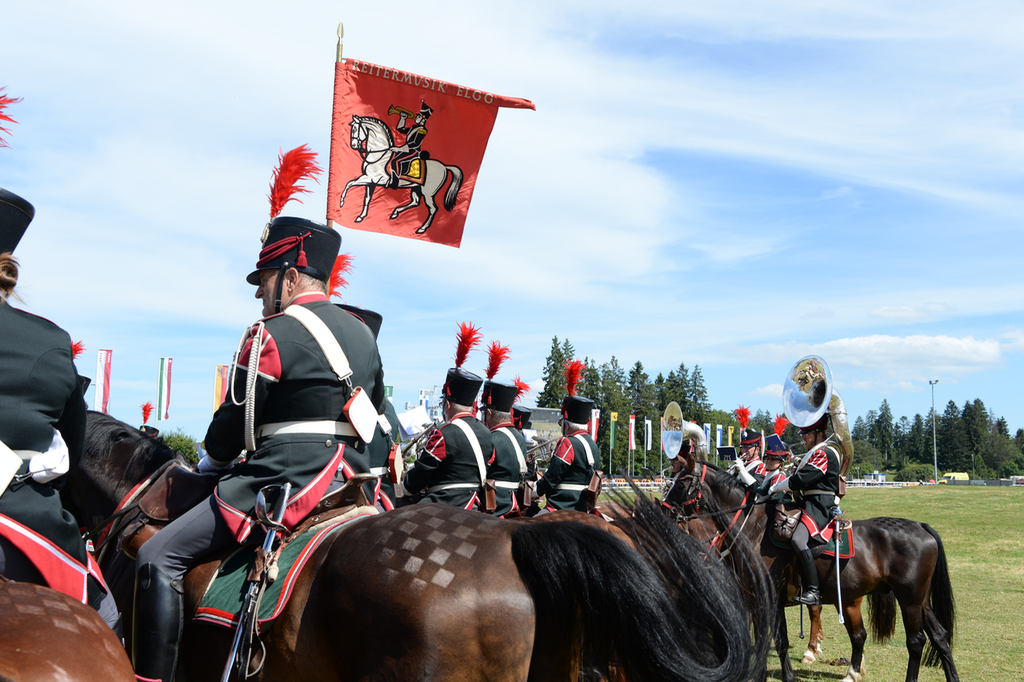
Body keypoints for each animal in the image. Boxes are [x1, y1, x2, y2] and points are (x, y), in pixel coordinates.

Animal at [663, 454, 958, 679]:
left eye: (682, 482)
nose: (664, 511)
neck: (754, 529)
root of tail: (920, 525)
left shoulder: (769, 598)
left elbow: (777, 641)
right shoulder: (756, 599)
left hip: (909, 600)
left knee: (915, 642)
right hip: (919, 601)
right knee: (939, 637)